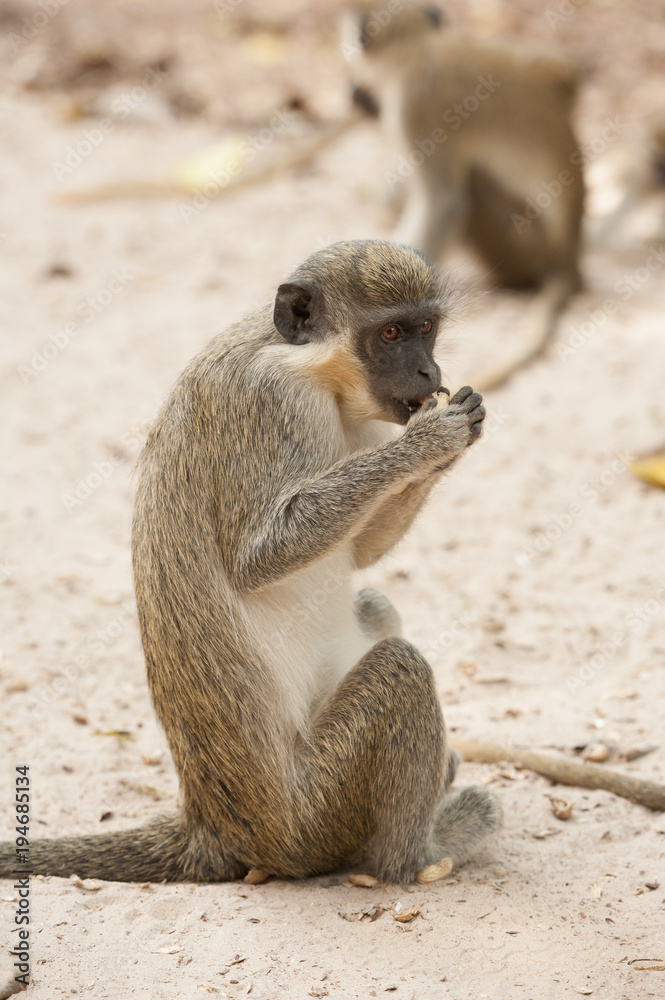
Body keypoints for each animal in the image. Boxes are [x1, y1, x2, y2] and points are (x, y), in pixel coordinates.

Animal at [0, 240, 500, 885]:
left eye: (426, 329)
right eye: (390, 333)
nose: (428, 374)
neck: (308, 364)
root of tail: (215, 826)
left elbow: (362, 552)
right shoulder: (268, 401)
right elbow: (259, 558)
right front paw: (428, 441)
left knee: (373, 603)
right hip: (316, 816)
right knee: (401, 670)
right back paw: (423, 853)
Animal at [344, 1, 585, 391]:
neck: (419, 49)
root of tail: (570, 254)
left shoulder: (416, 106)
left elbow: (444, 202)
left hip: (522, 242)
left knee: (471, 186)